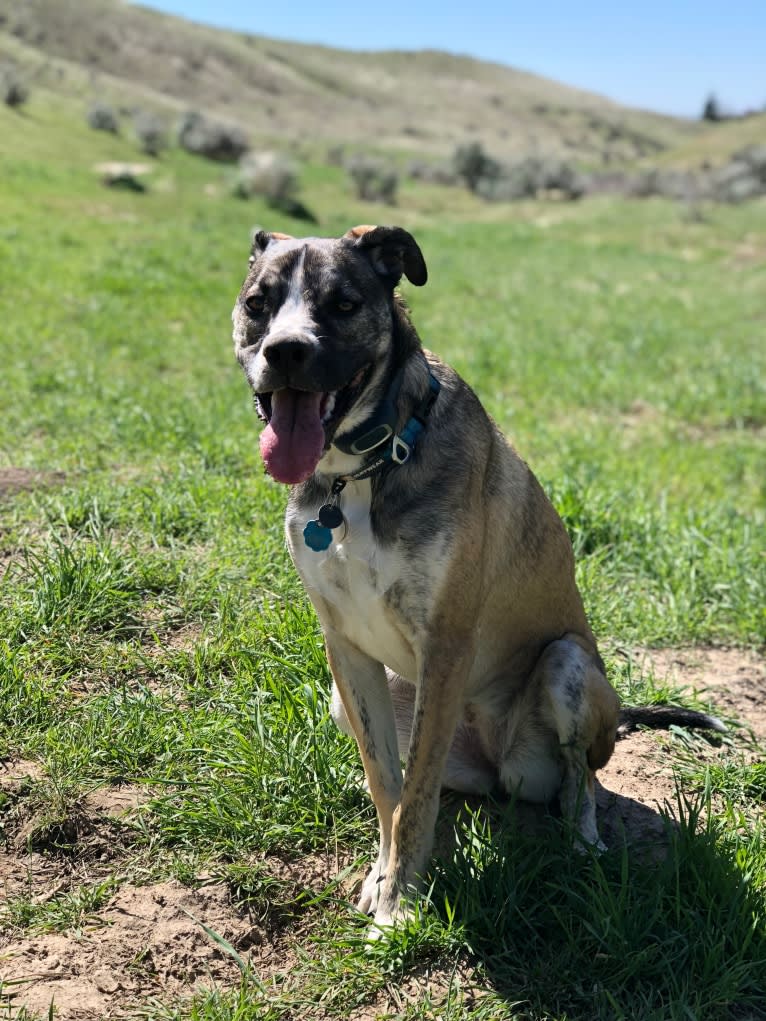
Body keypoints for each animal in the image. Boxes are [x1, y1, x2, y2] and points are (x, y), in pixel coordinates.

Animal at [232, 225, 727, 935]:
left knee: (580, 783)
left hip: (568, 665)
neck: (364, 471)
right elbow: (390, 785)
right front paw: (383, 875)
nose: (286, 351)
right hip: (351, 699)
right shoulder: (345, 648)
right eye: (258, 303)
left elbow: (415, 796)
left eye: (344, 304)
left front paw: (400, 904)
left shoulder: (446, 644)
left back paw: (584, 842)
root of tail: (497, 765)